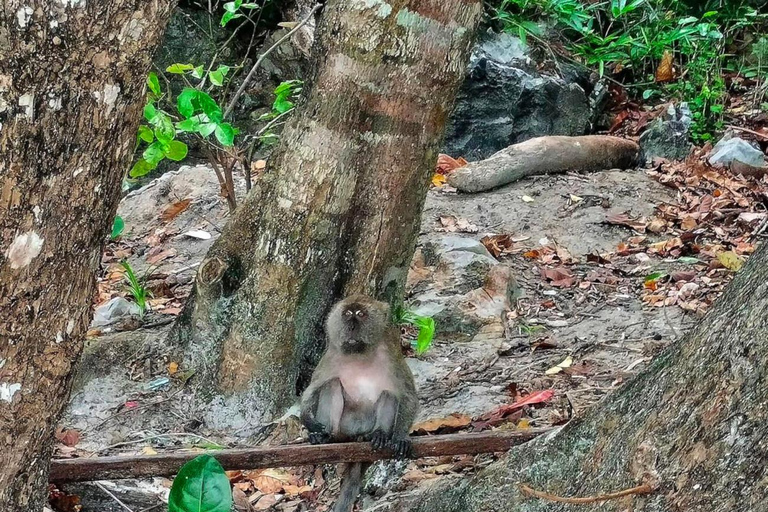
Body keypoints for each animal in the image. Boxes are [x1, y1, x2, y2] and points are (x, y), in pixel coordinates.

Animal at [300, 294, 420, 512]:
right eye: (348, 314)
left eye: (361, 314)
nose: (352, 326)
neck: (359, 353)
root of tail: (357, 434)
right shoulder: (331, 357)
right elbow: (312, 389)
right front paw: (309, 422)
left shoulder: (392, 356)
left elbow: (408, 396)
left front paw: (400, 437)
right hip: (343, 428)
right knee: (332, 384)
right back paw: (327, 437)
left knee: (389, 393)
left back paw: (379, 435)